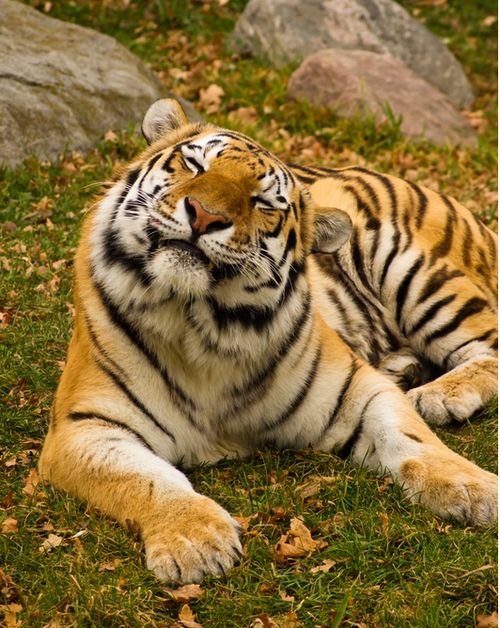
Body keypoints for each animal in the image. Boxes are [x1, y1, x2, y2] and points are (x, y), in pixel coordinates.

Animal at [38, 97, 496, 584]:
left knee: (488, 345)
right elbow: (146, 480)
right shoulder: (84, 426)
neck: (200, 324)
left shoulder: (357, 389)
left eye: (262, 202)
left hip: (412, 269)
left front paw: (476, 488)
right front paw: (194, 539)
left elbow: (413, 439)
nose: (204, 214)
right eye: (194, 164)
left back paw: (439, 395)